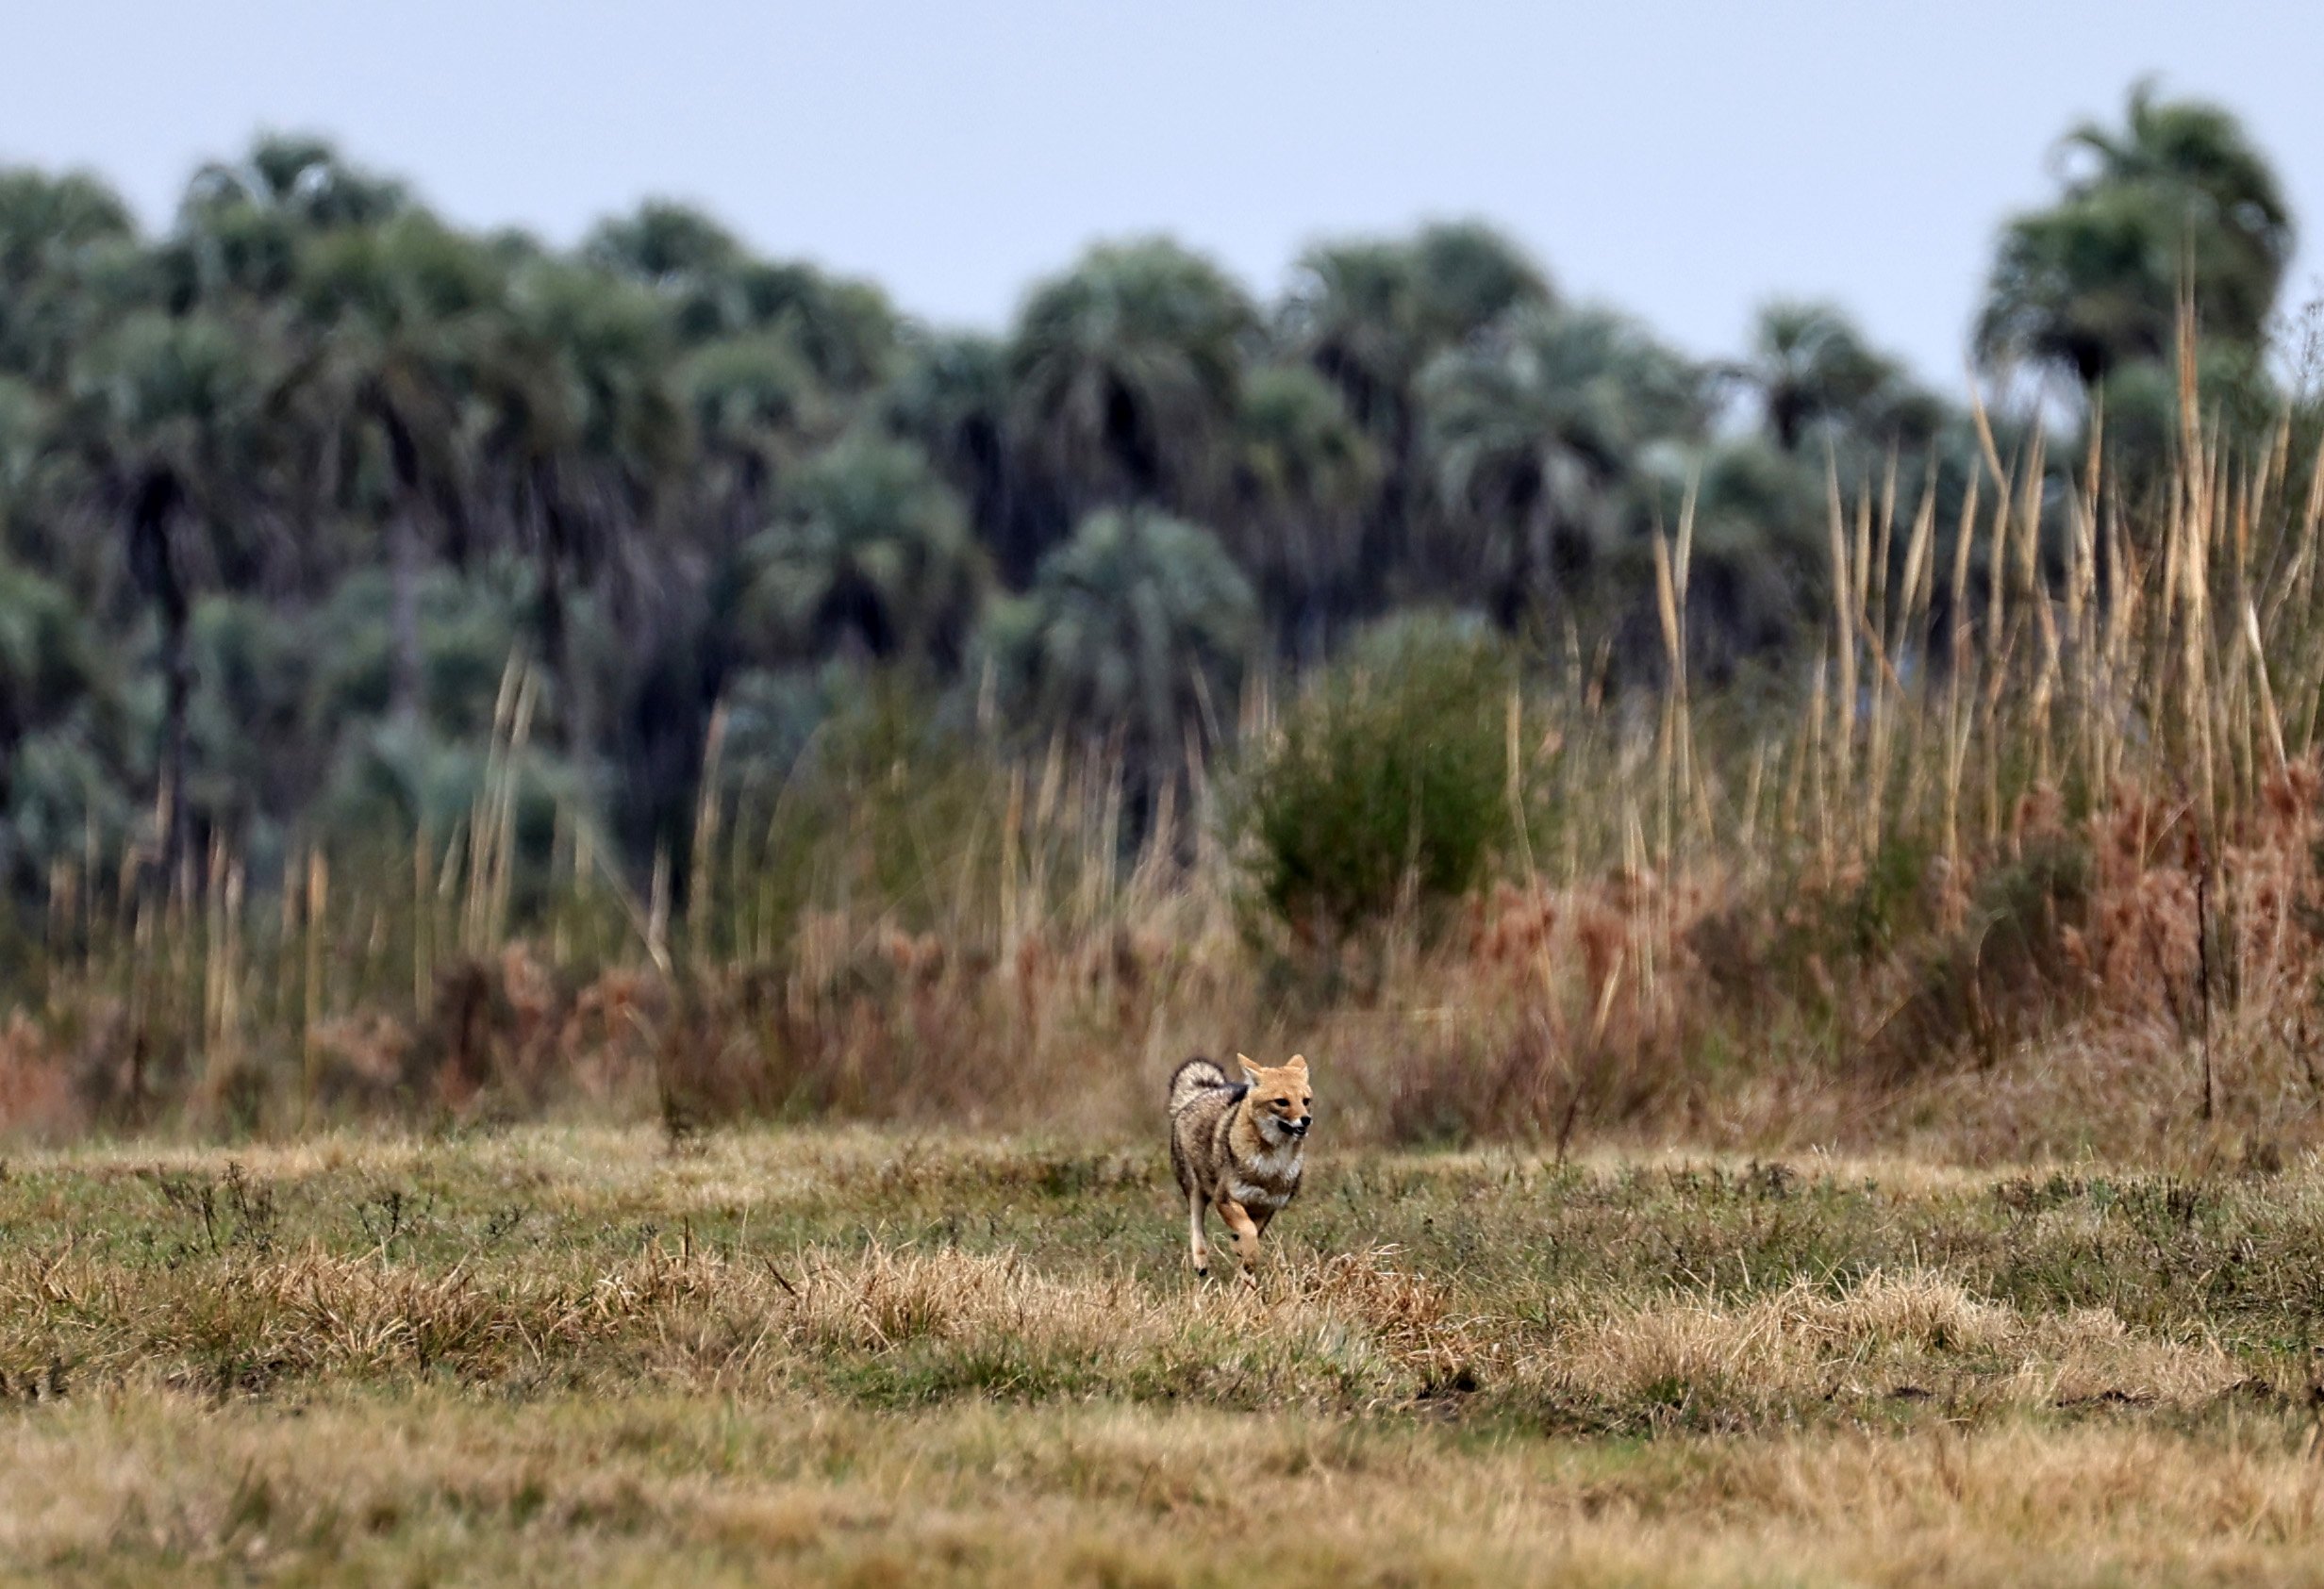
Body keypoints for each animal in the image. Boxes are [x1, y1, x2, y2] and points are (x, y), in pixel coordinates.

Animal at [1168, 1052, 1313, 1277]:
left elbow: (1250, 1235)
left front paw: (1246, 1264)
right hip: (1196, 1191)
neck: (1269, 1166)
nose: (1306, 1120)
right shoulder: (1224, 1200)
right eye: (1281, 1102)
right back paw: (1201, 1262)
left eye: (1305, 1101)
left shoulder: (1265, 1208)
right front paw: (1249, 1257)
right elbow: (1248, 1231)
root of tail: (1203, 1093)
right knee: (1195, 1225)